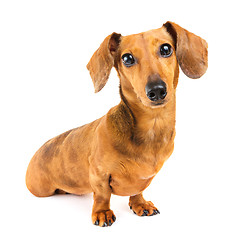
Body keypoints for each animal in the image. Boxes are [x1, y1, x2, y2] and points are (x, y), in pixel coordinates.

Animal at [25, 22, 208, 227]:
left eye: (166, 49)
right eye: (127, 58)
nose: (156, 90)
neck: (153, 125)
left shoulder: (145, 178)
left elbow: (138, 191)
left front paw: (140, 204)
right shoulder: (99, 174)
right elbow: (102, 195)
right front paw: (102, 212)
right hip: (40, 189)